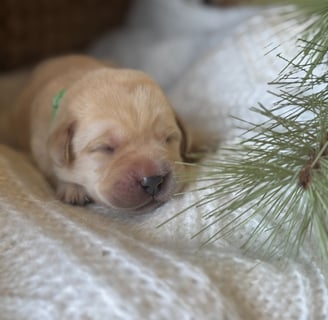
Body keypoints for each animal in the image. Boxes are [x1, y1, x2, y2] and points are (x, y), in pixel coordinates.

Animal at [12, 55, 195, 215]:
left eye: (169, 139)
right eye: (105, 148)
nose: (153, 181)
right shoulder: (42, 147)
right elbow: (56, 170)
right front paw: (73, 190)